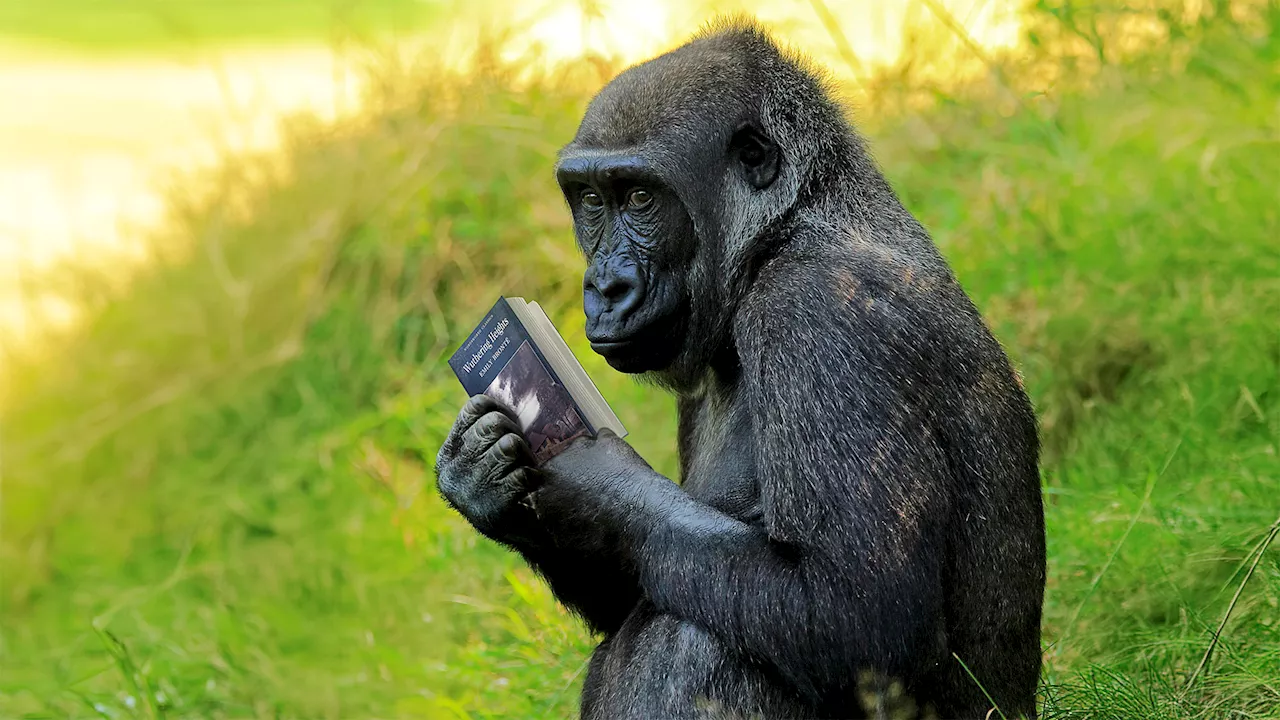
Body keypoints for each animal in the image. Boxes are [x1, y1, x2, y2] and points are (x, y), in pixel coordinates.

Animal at [435, 16, 1044, 717]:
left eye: (639, 197)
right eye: (590, 199)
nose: (604, 286)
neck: (777, 237)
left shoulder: (815, 313)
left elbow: (866, 616)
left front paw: (596, 485)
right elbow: (628, 588)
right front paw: (479, 479)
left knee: (705, 633)